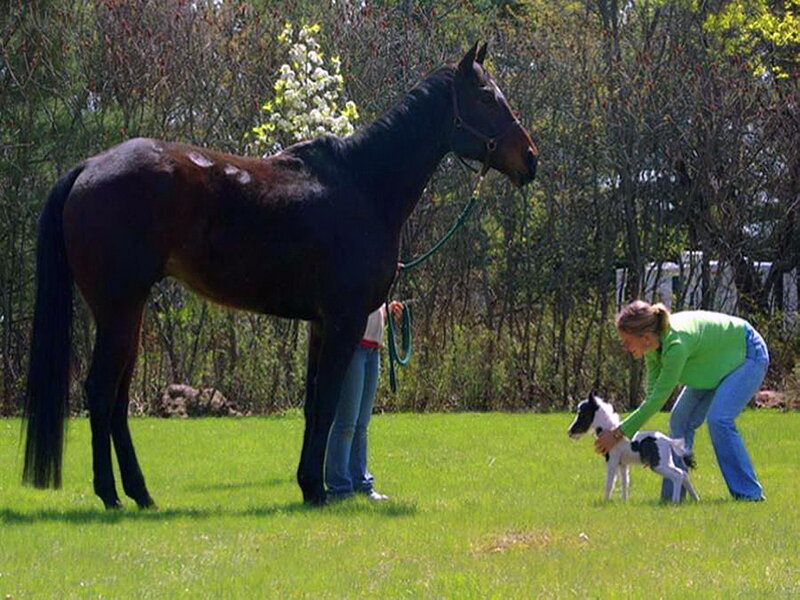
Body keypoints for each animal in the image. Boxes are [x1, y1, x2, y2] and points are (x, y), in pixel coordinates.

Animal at [23, 42, 538, 508]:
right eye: (487, 97)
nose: (530, 157)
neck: (364, 185)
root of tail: (90, 166)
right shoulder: (345, 320)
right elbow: (328, 403)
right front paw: (318, 490)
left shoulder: (321, 324)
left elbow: (312, 404)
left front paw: (310, 484)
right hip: (119, 309)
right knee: (99, 391)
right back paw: (110, 495)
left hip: (130, 314)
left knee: (118, 398)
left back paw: (140, 493)